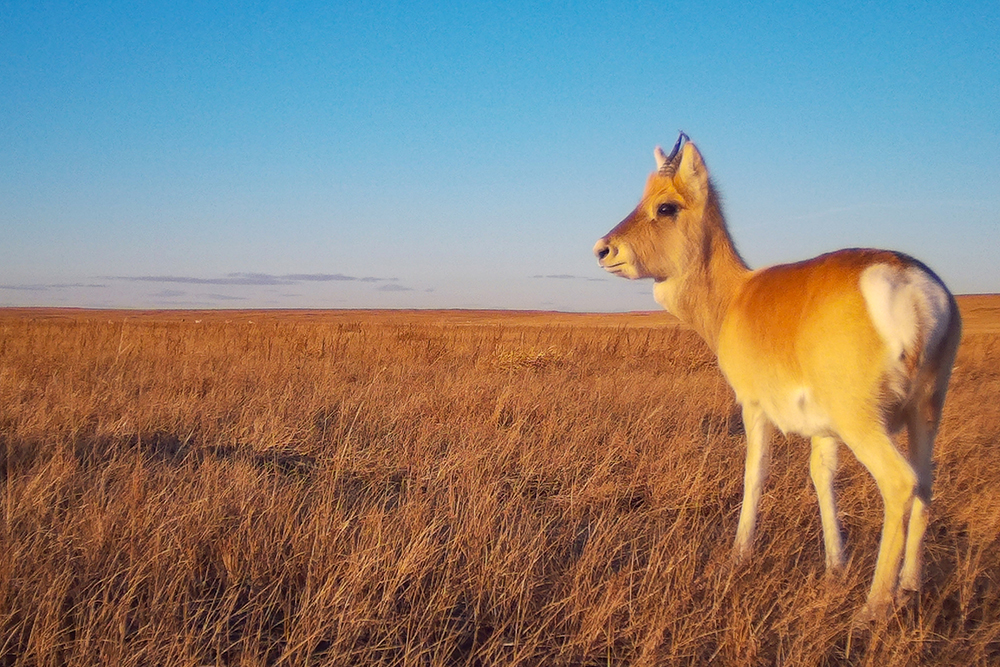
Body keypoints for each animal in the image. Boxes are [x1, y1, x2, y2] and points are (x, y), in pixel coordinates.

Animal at [592, 136, 960, 620]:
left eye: (666, 206)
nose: (602, 248)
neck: (738, 295)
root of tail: (909, 284)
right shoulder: (825, 431)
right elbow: (821, 476)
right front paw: (835, 564)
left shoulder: (753, 407)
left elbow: (755, 472)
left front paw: (739, 553)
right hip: (924, 414)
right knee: (925, 485)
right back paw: (910, 585)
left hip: (865, 424)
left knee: (900, 483)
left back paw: (873, 607)